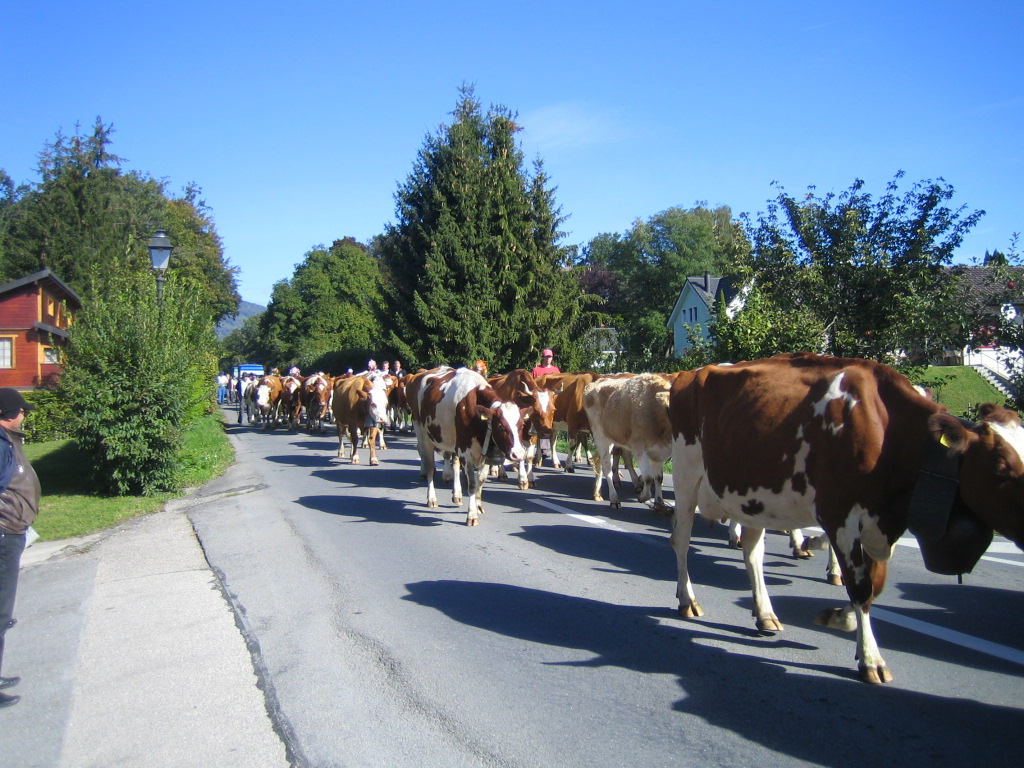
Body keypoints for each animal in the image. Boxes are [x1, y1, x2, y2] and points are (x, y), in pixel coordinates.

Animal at [406, 366, 528, 526]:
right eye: (501, 426)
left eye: (521, 425)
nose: (518, 454)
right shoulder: (465, 452)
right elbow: (472, 484)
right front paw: (472, 515)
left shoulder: (484, 453)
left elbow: (480, 480)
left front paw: (478, 505)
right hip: (423, 435)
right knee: (430, 468)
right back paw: (431, 498)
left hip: (452, 442)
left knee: (454, 464)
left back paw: (456, 494)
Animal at [584, 373, 675, 512]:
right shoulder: (639, 448)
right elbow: (648, 477)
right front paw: (643, 497)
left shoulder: (658, 451)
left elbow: (659, 478)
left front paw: (660, 504)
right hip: (601, 437)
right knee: (607, 468)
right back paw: (614, 499)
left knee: (600, 463)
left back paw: (597, 494)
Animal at [667, 353, 1024, 683]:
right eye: (1001, 469)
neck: (887, 429)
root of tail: (691, 373)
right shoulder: (840, 516)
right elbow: (861, 586)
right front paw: (870, 658)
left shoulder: (880, 526)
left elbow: (874, 585)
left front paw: (840, 616)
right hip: (687, 479)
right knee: (681, 540)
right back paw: (688, 600)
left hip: (752, 498)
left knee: (752, 552)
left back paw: (765, 613)